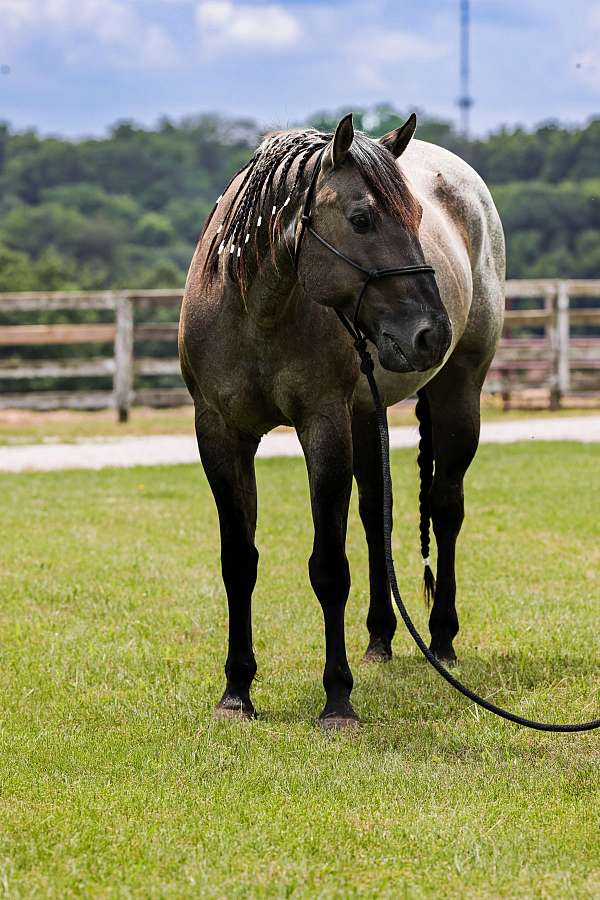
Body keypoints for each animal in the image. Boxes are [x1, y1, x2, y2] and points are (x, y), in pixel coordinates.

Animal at [179, 112, 505, 730]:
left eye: (418, 217)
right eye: (361, 219)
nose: (432, 334)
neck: (257, 311)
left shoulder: (323, 428)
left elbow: (329, 568)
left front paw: (337, 699)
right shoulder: (221, 437)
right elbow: (239, 564)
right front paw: (236, 692)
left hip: (458, 396)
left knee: (446, 509)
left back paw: (441, 638)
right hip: (366, 413)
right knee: (378, 517)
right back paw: (379, 640)